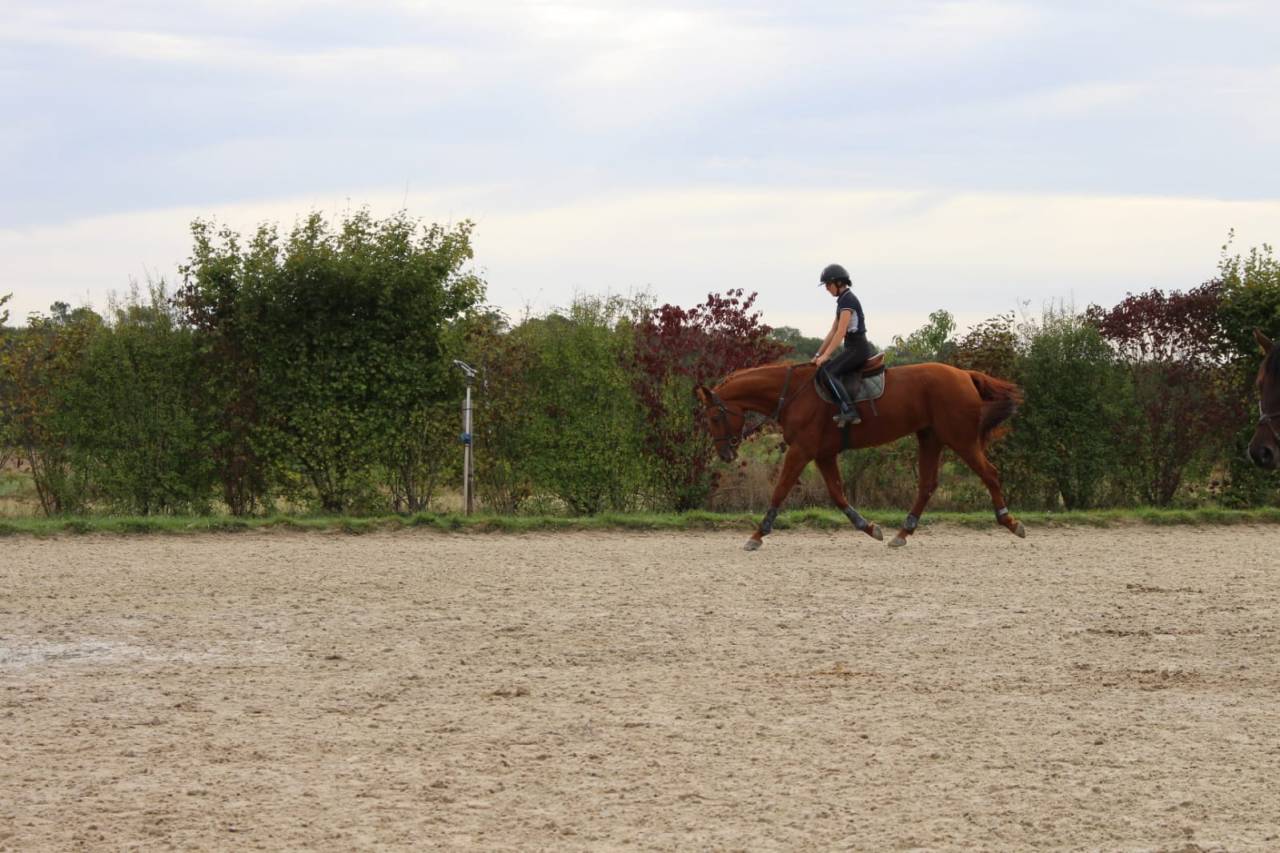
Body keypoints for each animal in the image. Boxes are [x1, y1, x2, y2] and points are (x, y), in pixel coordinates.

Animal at [695, 359, 1026, 550]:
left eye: (714, 417)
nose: (725, 453)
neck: (792, 395)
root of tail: (964, 375)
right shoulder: (823, 455)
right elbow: (838, 494)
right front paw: (868, 527)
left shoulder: (801, 451)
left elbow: (780, 490)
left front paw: (757, 534)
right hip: (930, 438)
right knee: (927, 485)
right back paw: (902, 532)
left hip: (961, 439)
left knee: (990, 474)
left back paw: (1010, 522)